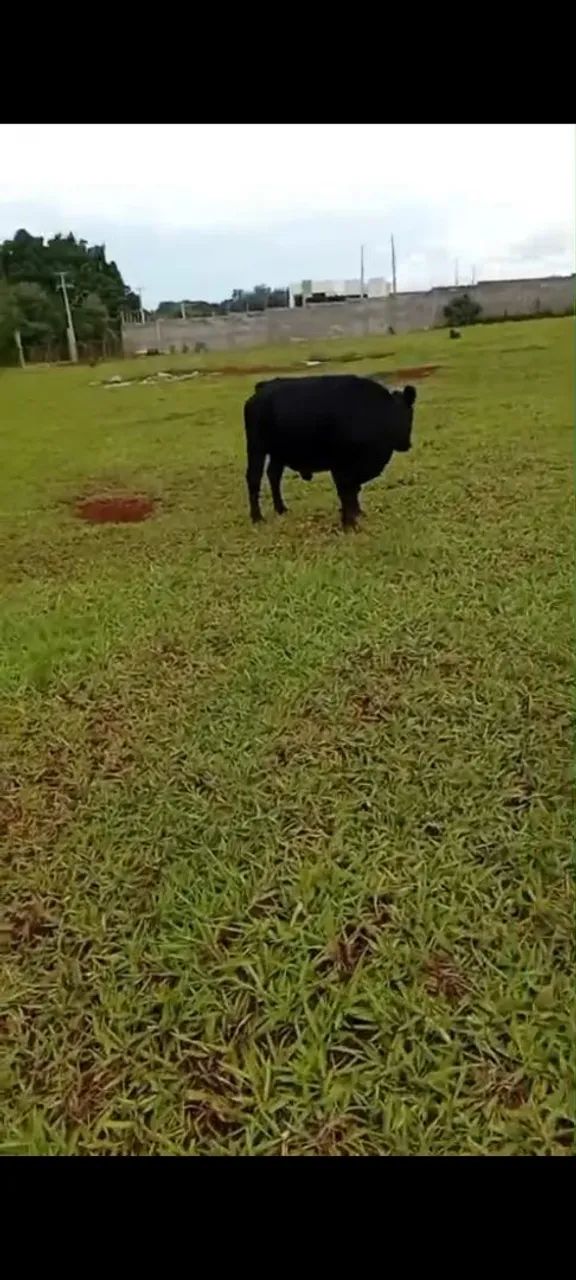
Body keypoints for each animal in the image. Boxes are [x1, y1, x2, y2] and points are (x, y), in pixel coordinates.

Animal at [243, 374, 417, 530]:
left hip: (278, 453)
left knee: (274, 475)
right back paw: (257, 518)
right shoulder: (341, 466)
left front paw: (357, 514)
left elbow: (354, 491)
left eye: (409, 415)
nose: (406, 445)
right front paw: (349, 524)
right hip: (256, 448)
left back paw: (281, 509)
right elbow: (346, 492)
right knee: (254, 478)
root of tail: (264, 387)